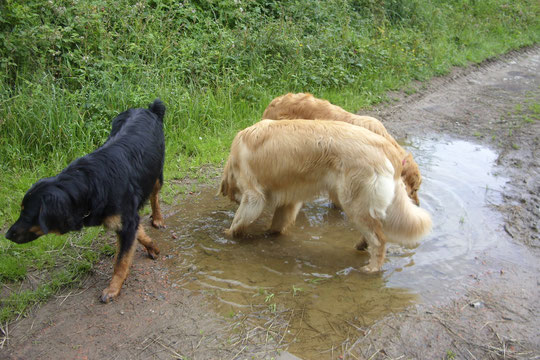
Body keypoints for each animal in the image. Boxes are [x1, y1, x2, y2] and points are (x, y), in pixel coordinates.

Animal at [5, 100, 167, 302]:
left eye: (27, 214)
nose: (7, 235)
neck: (91, 185)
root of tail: (149, 109)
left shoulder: (126, 218)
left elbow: (121, 261)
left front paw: (113, 289)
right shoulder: (126, 218)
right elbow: (138, 234)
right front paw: (153, 247)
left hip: (156, 173)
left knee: (154, 196)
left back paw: (158, 218)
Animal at [217, 119, 432, 272]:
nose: (233, 200)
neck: (235, 158)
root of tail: (388, 149)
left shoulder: (254, 196)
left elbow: (238, 221)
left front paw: (227, 234)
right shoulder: (290, 199)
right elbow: (278, 222)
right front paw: (270, 235)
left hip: (353, 201)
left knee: (379, 240)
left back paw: (371, 268)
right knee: (374, 233)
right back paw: (361, 245)